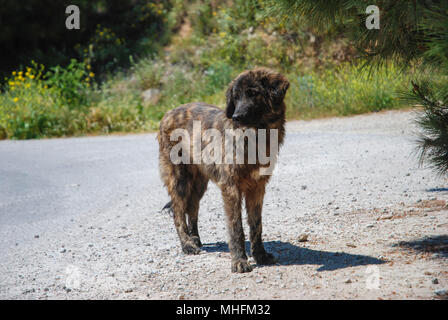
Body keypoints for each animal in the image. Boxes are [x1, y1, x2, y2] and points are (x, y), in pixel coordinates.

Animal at [158, 67, 290, 272]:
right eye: (236, 97)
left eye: (253, 94)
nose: (236, 117)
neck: (255, 137)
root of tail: (168, 113)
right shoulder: (231, 187)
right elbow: (236, 227)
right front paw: (239, 261)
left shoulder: (257, 188)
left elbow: (256, 225)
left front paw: (260, 256)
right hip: (179, 179)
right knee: (178, 212)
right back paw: (187, 245)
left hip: (199, 184)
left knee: (192, 208)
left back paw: (195, 239)